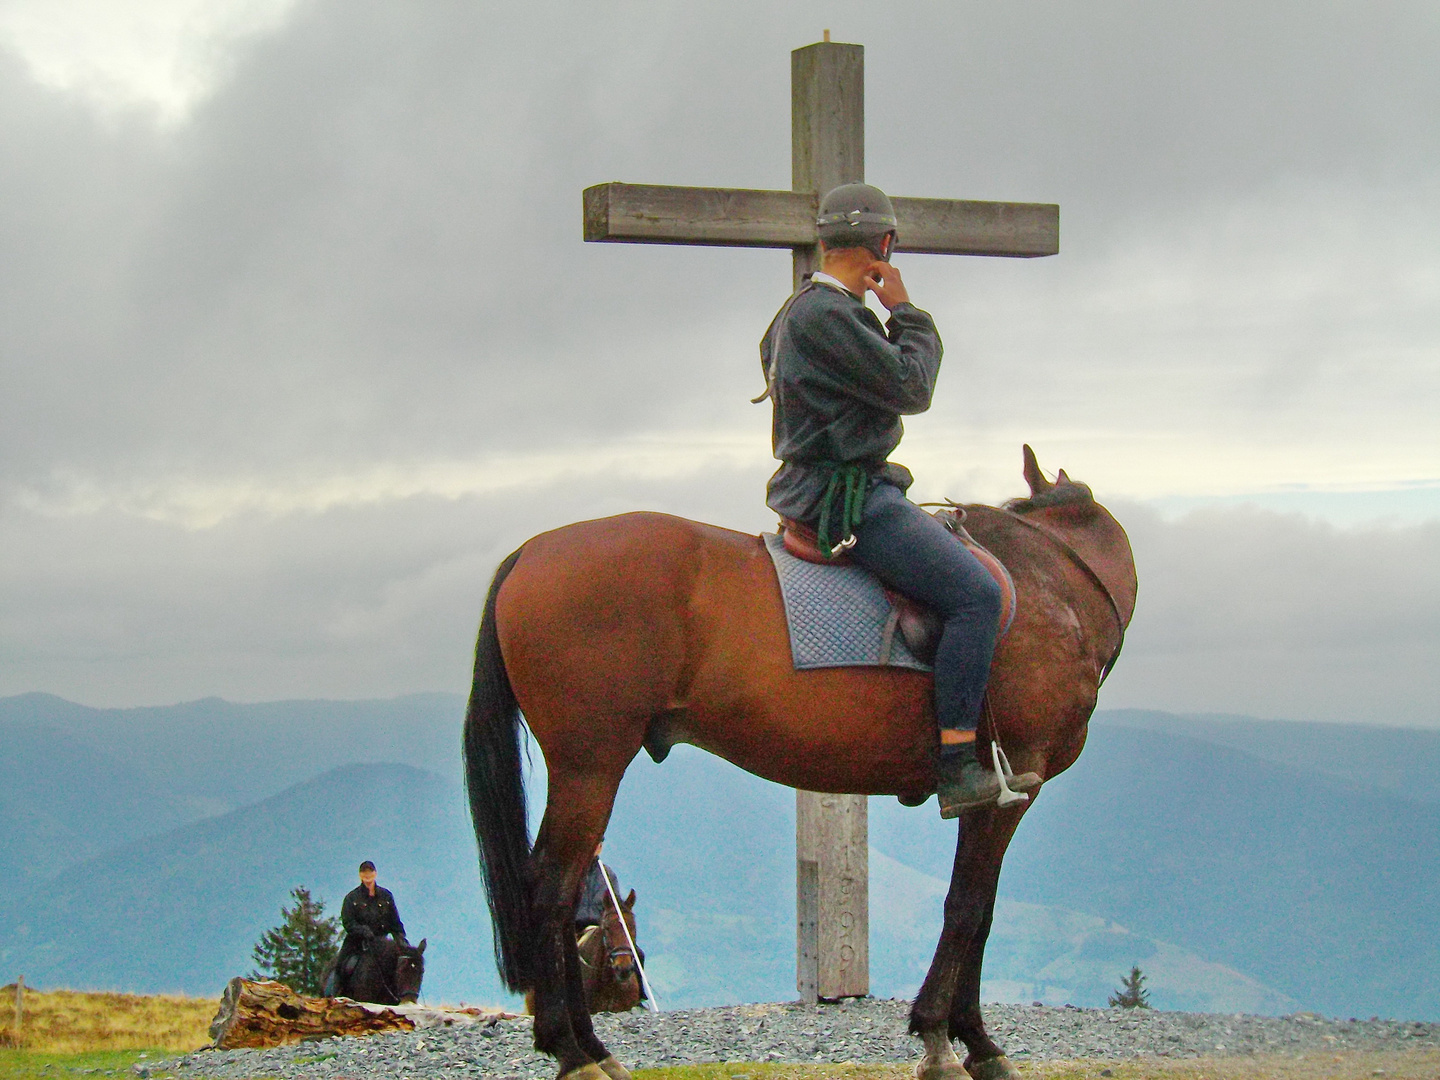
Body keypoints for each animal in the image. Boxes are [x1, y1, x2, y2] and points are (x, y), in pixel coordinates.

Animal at [460, 446, 1134, 1080]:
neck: (1050, 584)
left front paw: (970, 1037)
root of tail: (532, 552)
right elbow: (968, 906)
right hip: (590, 767)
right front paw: (948, 1038)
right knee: (551, 889)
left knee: (568, 890)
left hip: (585, 771)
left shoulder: (997, 794)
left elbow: (981, 907)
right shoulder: (1013, 779)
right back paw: (572, 1051)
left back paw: (592, 1046)